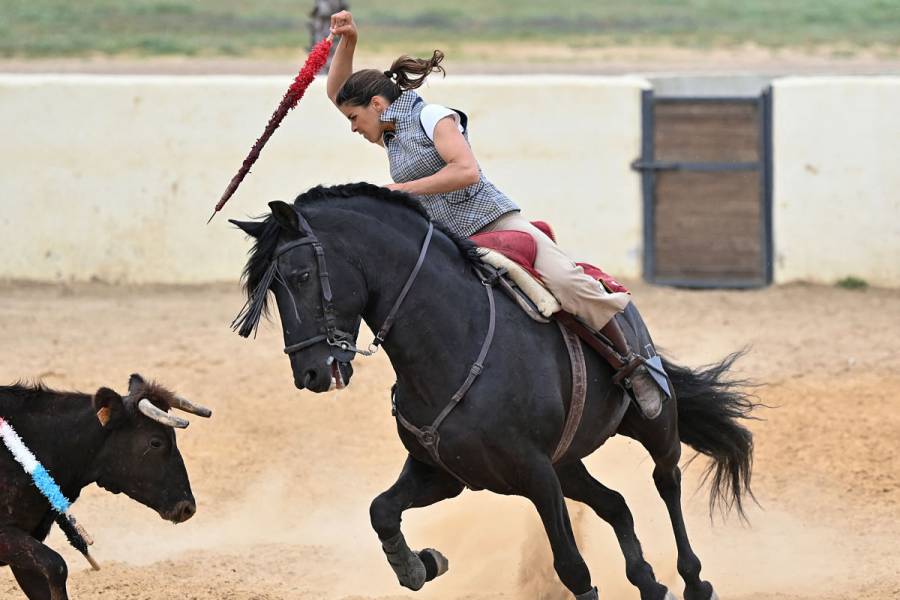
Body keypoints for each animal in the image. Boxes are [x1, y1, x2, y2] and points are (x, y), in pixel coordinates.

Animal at [230, 183, 752, 600]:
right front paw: (420, 565)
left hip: (652, 425)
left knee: (667, 482)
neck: (454, 341)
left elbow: (573, 568)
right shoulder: (444, 473)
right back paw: (649, 582)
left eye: (300, 277)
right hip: (569, 464)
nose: (310, 373)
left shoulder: (536, 474)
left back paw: (694, 581)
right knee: (617, 505)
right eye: (270, 289)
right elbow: (382, 510)